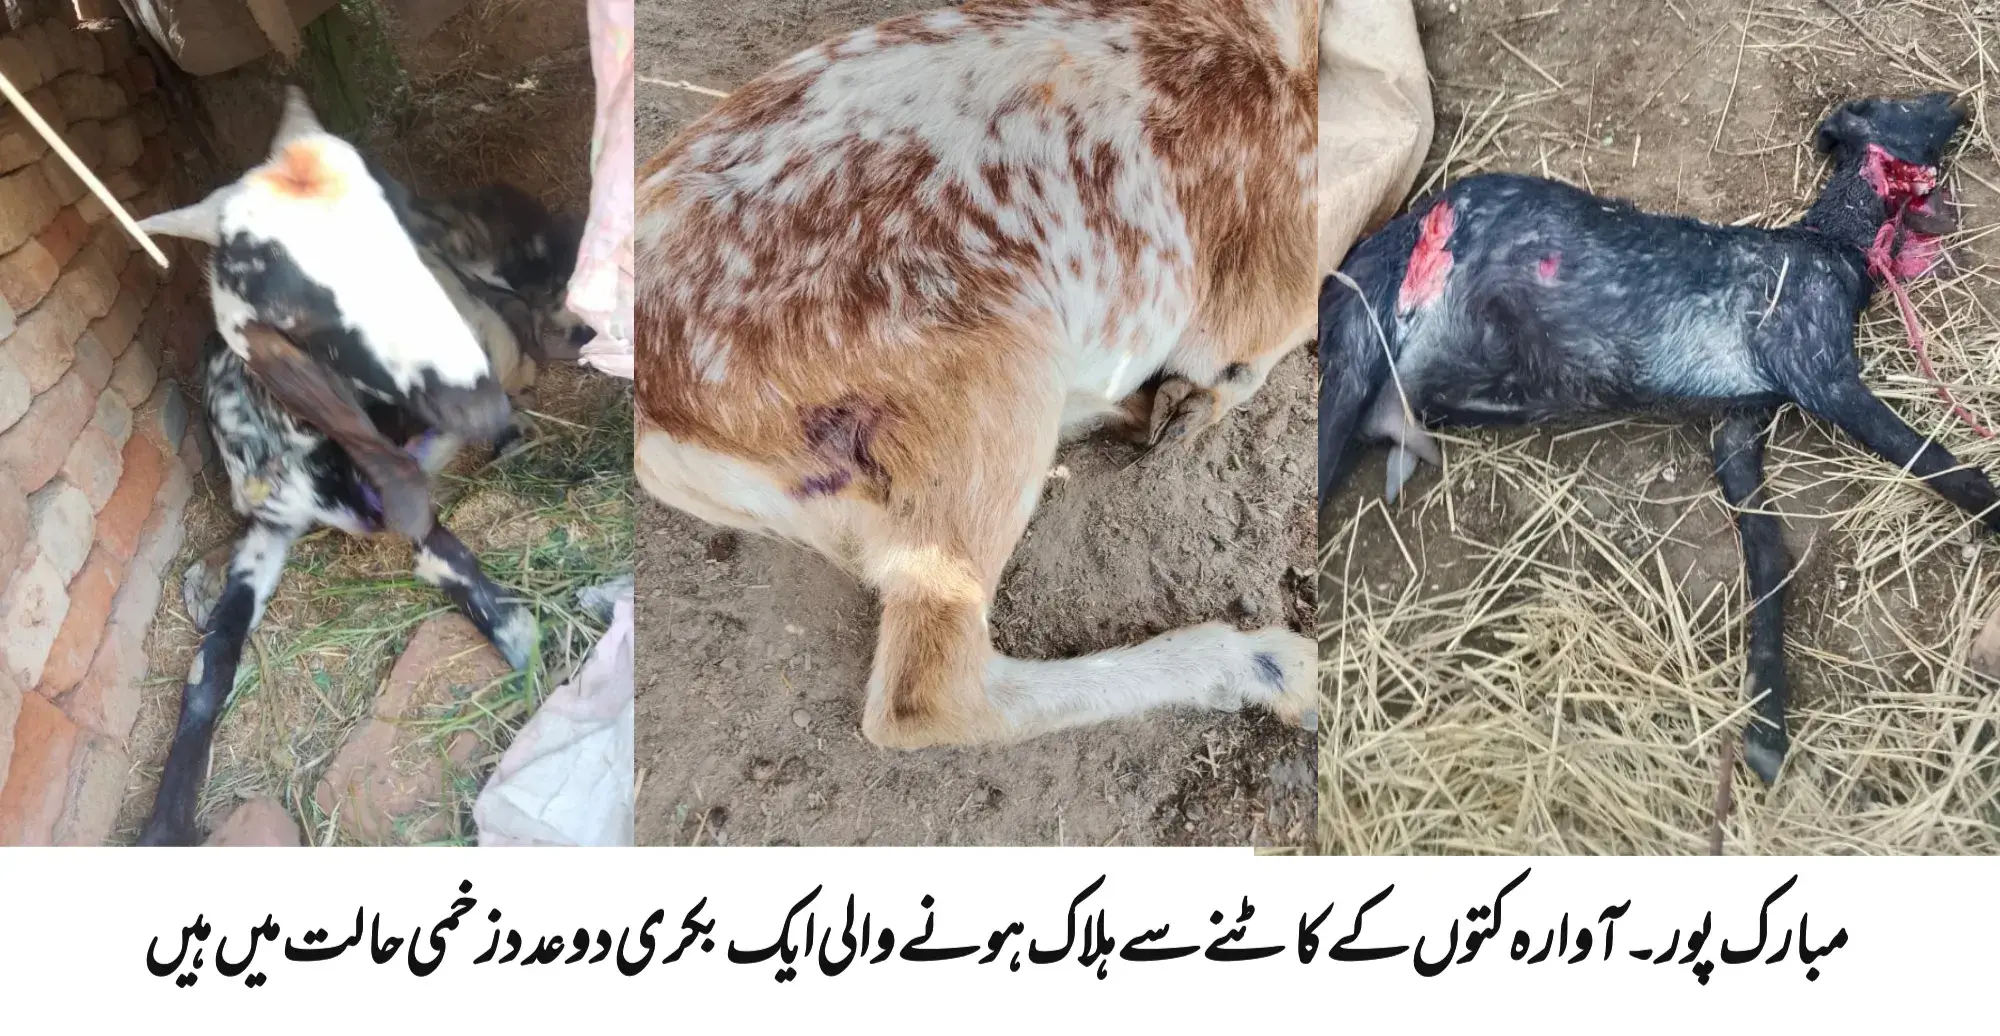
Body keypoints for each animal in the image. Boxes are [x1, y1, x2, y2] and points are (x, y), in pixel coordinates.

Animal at [130, 92, 582, 845]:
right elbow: (209, 665)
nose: (479, 402)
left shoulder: (403, 482)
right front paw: (166, 822)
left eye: (398, 232)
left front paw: (528, 654)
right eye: (302, 305)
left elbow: (444, 551)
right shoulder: (269, 529)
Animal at [636, 0, 1323, 748]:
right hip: (997, 382)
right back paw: (1274, 664)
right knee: (929, 691)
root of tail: (658, 427)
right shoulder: (1268, 276)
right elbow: (1259, 342)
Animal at [1319, 93, 1975, 783]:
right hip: (1442, 329)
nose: (1955, 102)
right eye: (1900, 105)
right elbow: (1944, 467)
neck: (1832, 243)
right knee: (1372, 413)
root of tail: (1416, 218)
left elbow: (1768, 556)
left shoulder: (1738, 429)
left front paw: (1767, 725)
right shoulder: (1820, 370)